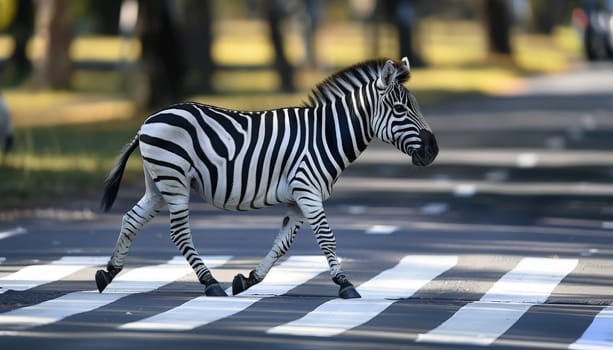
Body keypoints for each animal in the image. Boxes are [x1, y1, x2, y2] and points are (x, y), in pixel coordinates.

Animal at [95, 56, 438, 298]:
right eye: (399, 109)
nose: (433, 151)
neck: (325, 135)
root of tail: (149, 120)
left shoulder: (300, 199)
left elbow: (282, 244)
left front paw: (248, 279)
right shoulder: (307, 190)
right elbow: (327, 237)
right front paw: (345, 284)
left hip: (158, 184)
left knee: (131, 219)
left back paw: (107, 273)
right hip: (174, 181)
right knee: (179, 234)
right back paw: (210, 282)